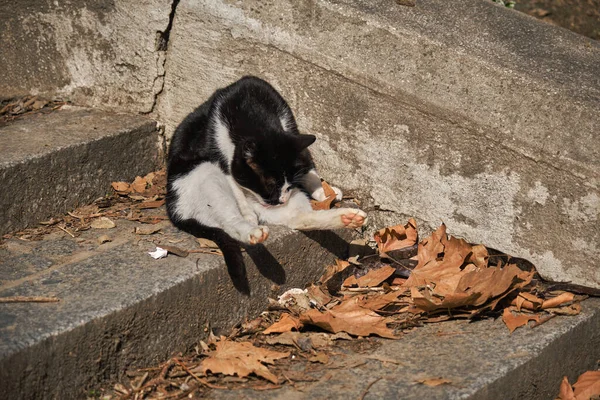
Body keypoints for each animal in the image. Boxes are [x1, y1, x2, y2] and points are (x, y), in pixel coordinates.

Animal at [166, 75, 368, 290]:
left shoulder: (288, 124)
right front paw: (246, 212)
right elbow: (233, 182)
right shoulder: (219, 151)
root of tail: (174, 210)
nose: (279, 200)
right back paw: (253, 231)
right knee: (230, 222)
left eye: (289, 184)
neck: (250, 108)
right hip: (205, 174)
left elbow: (306, 161)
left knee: (298, 219)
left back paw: (348, 217)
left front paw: (321, 191)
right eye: (269, 185)